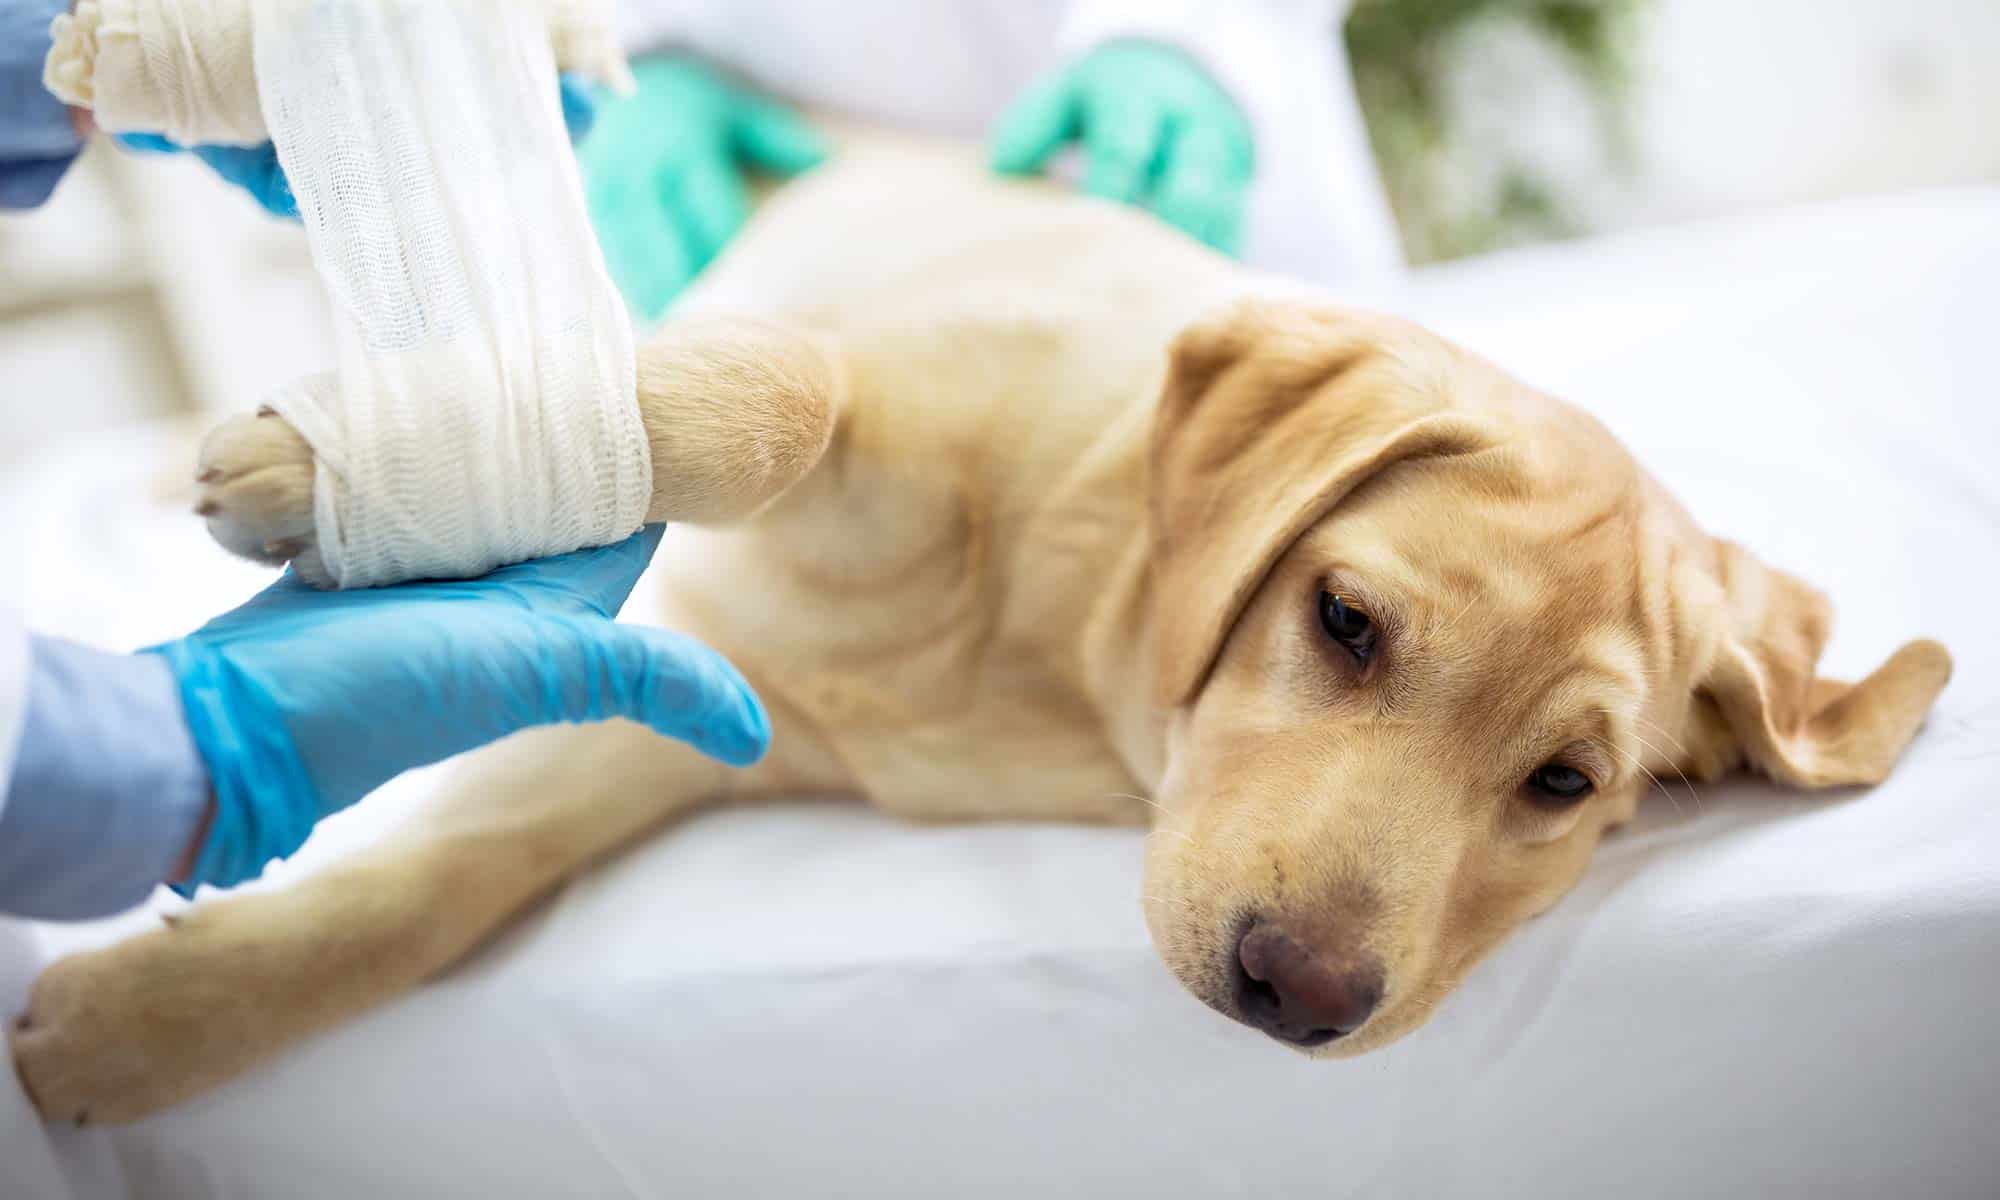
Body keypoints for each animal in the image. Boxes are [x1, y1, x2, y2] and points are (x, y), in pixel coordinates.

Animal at [11, 141, 1952, 1128]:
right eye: (1341, 621)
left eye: (1563, 787)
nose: (1298, 996)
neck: (1066, 652)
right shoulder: (867, 381)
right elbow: (787, 386)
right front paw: (343, 463)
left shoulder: (691, 724)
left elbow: (439, 886)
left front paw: (141, 1026)